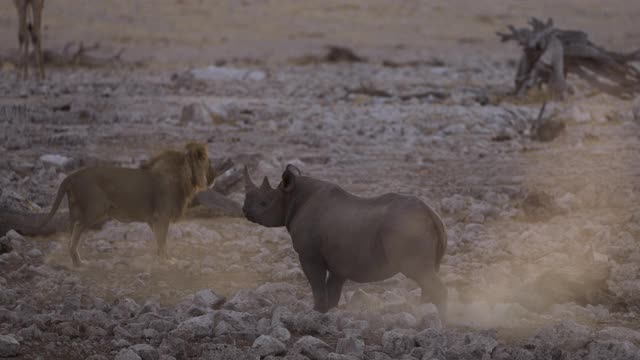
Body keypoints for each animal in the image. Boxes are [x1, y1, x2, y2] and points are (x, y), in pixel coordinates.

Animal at [38, 142, 214, 266]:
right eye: (208, 163)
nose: (215, 176)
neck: (184, 177)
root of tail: (72, 175)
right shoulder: (162, 216)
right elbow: (163, 240)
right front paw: (166, 261)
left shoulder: (154, 220)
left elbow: (159, 241)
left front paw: (161, 258)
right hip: (94, 210)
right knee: (76, 231)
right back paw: (78, 262)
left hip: (79, 210)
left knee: (71, 233)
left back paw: (75, 261)